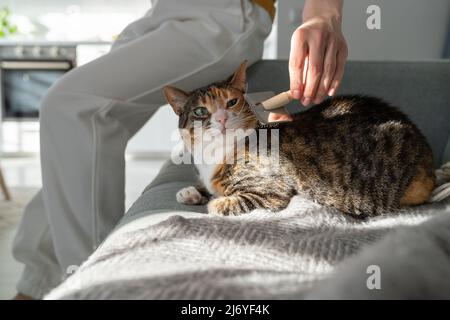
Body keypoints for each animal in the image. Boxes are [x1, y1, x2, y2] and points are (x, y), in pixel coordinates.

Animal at [163, 62, 434, 218]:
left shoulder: (269, 192)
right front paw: (191, 192)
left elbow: (227, 202)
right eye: (200, 111)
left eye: (232, 102)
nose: (221, 118)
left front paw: (212, 201)